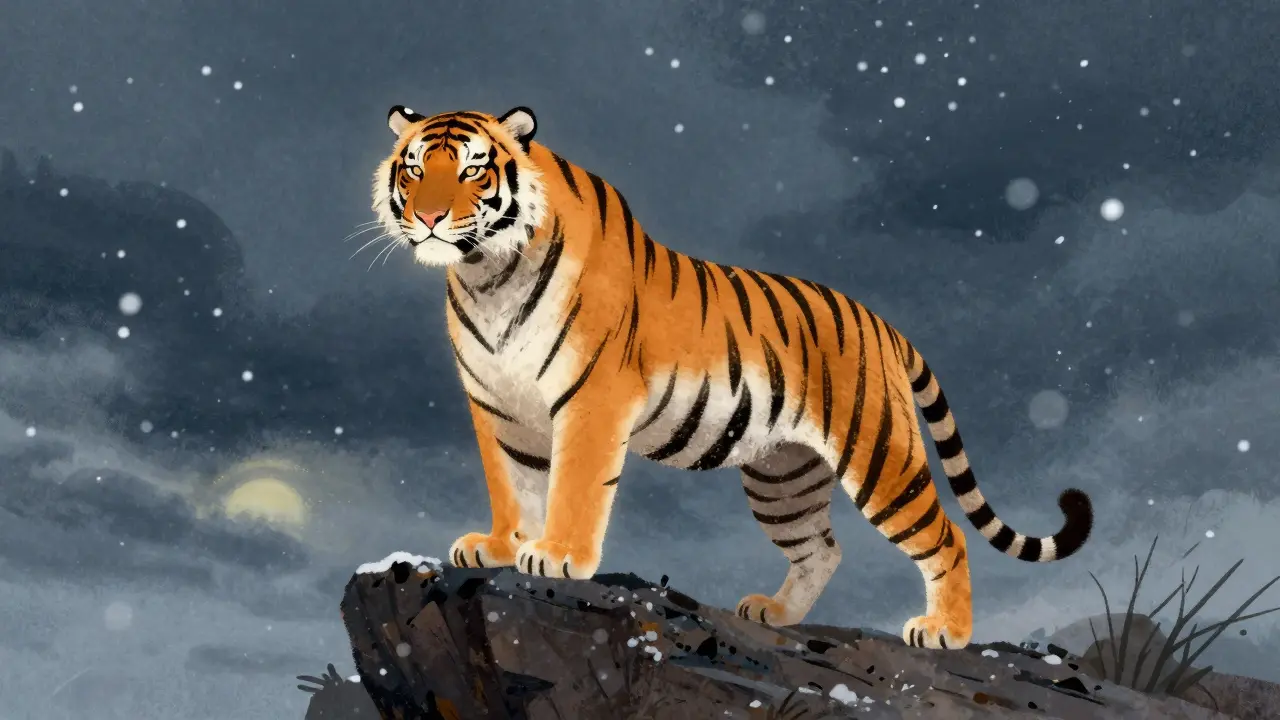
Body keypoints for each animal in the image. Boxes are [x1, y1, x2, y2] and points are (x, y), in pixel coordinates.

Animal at [370, 104, 1094, 650]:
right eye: (415, 169)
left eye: (473, 168)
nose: (430, 218)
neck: (487, 277)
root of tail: (884, 325)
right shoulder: (497, 406)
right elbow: (513, 484)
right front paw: (498, 545)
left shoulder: (590, 399)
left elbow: (572, 485)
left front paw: (557, 555)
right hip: (783, 476)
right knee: (821, 548)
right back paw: (776, 614)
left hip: (880, 454)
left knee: (945, 536)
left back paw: (946, 632)